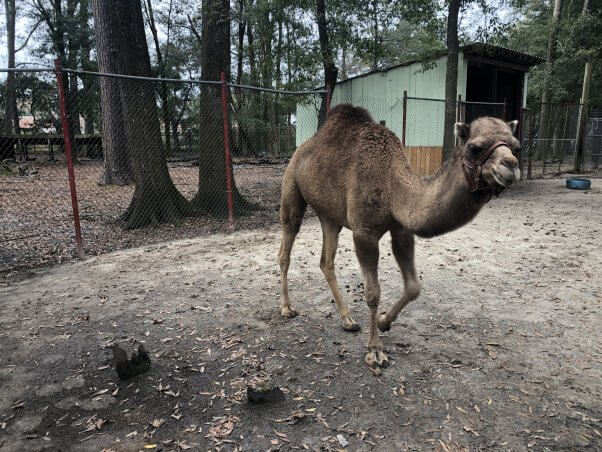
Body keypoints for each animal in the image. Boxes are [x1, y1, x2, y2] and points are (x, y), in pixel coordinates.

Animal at [278, 105, 516, 368]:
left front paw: (384, 322)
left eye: (516, 146)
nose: (510, 165)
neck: (392, 187)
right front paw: (375, 351)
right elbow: (373, 293)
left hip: (330, 216)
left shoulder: (401, 230)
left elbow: (413, 287)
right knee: (286, 246)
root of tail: (304, 146)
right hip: (291, 186)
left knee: (326, 261)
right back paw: (287, 308)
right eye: (475, 147)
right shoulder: (364, 232)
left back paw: (347, 320)